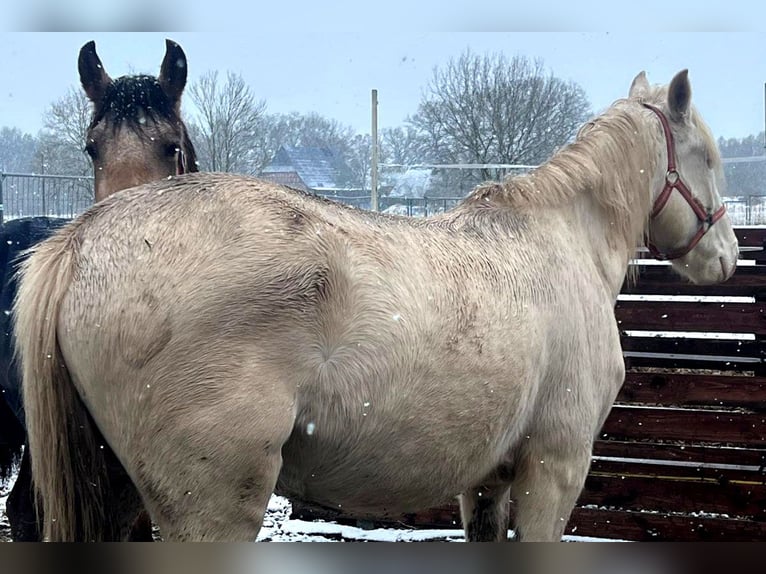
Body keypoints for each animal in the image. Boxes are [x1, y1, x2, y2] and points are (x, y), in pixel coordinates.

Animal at [14, 69, 738, 542]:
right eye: (707, 157)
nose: (727, 256)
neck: (561, 241)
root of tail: (83, 240)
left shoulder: (487, 481)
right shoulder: (554, 471)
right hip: (211, 510)